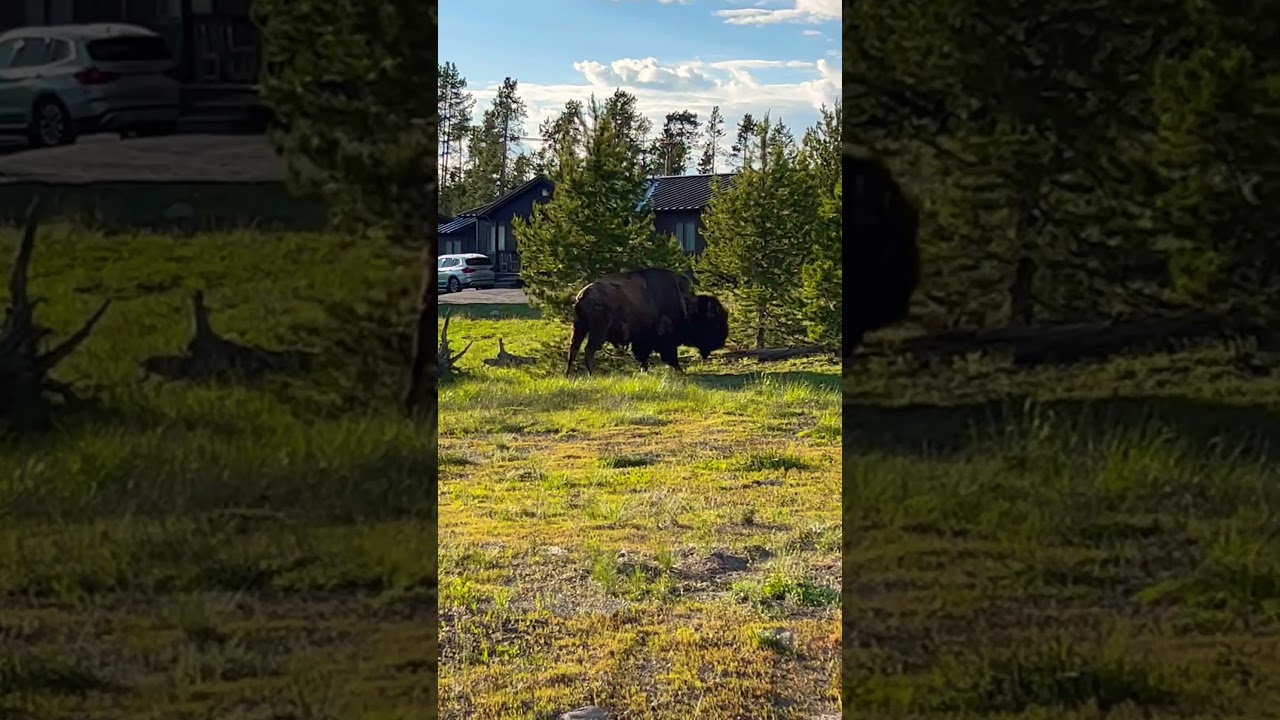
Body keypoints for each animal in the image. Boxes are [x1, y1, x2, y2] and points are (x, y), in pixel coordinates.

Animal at [566, 268, 729, 375]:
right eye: (717, 322)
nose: (722, 341)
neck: (685, 303)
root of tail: (584, 294)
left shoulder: (642, 340)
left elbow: (642, 356)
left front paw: (644, 370)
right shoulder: (665, 339)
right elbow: (670, 356)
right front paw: (680, 370)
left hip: (579, 326)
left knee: (574, 349)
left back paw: (568, 375)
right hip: (597, 331)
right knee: (589, 350)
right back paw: (591, 374)